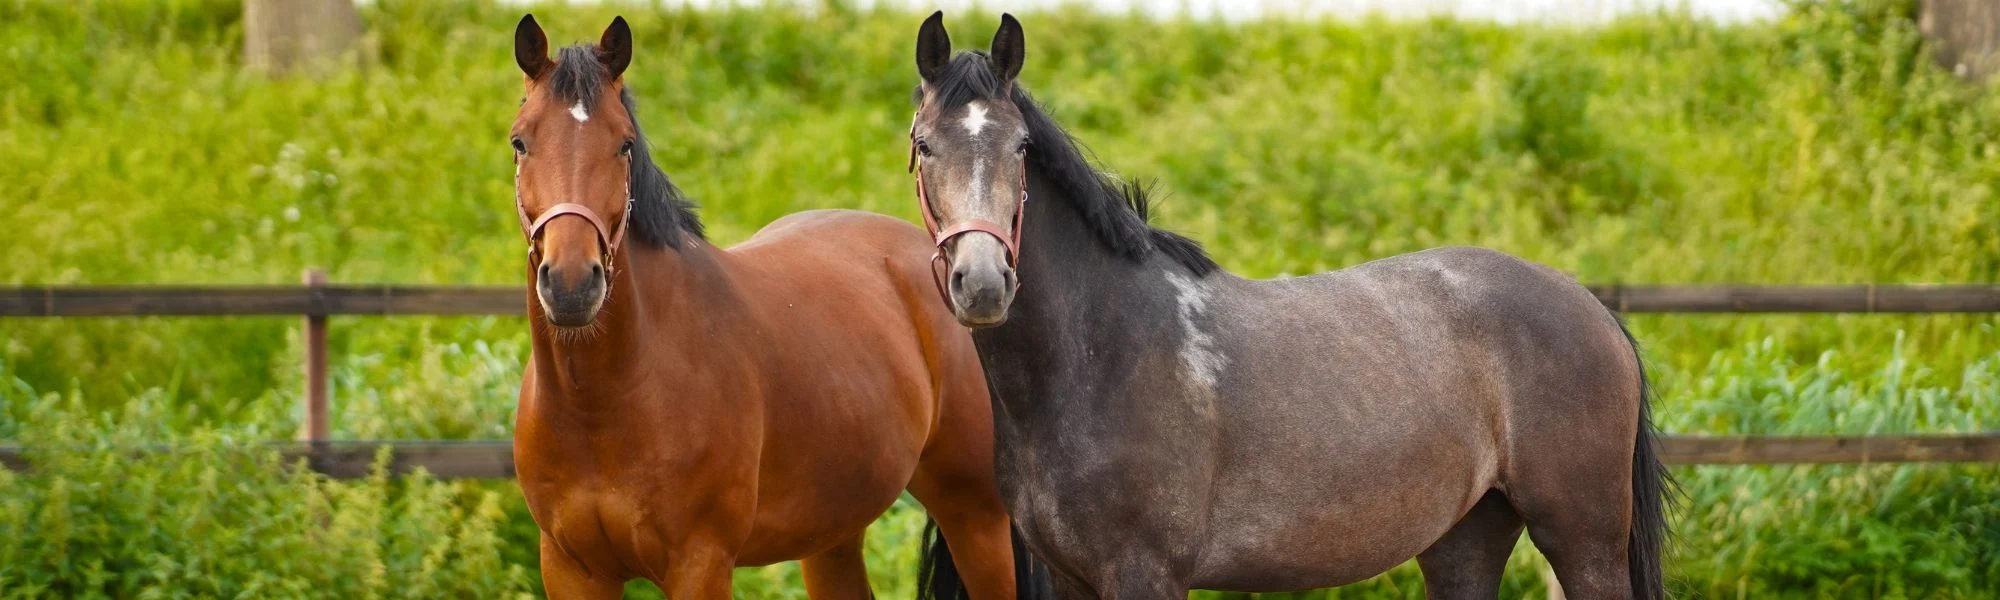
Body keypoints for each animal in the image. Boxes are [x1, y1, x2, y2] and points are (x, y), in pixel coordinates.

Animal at [506, 15, 1045, 599]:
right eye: (520, 142)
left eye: (624, 145)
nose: (572, 283)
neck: (604, 402)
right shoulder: (570, 569)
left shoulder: (701, 563)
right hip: (833, 532)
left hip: (976, 516)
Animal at [897, 13, 1675, 599]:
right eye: (923, 145)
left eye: (1022, 146)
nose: (984, 283)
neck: (1096, 355)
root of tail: (1589, 305)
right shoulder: (1067, 579)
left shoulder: (1145, 573)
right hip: (1466, 538)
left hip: (1582, 539)